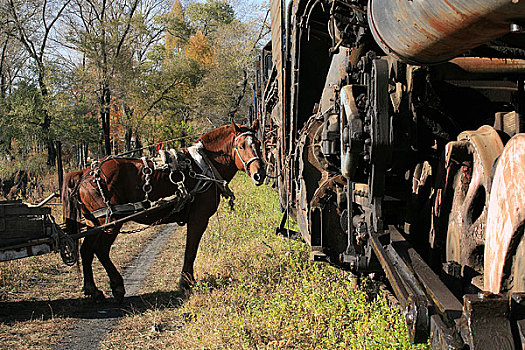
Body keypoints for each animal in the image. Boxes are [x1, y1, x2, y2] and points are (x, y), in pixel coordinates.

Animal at [62, 119, 266, 300]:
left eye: (258, 144)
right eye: (241, 146)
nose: (259, 174)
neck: (204, 165)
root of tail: (85, 173)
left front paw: (187, 280)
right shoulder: (199, 218)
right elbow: (191, 248)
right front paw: (187, 281)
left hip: (94, 222)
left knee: (86, 250)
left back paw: (92, 289)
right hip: (110, 222)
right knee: (101, 250)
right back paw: (117, 286)